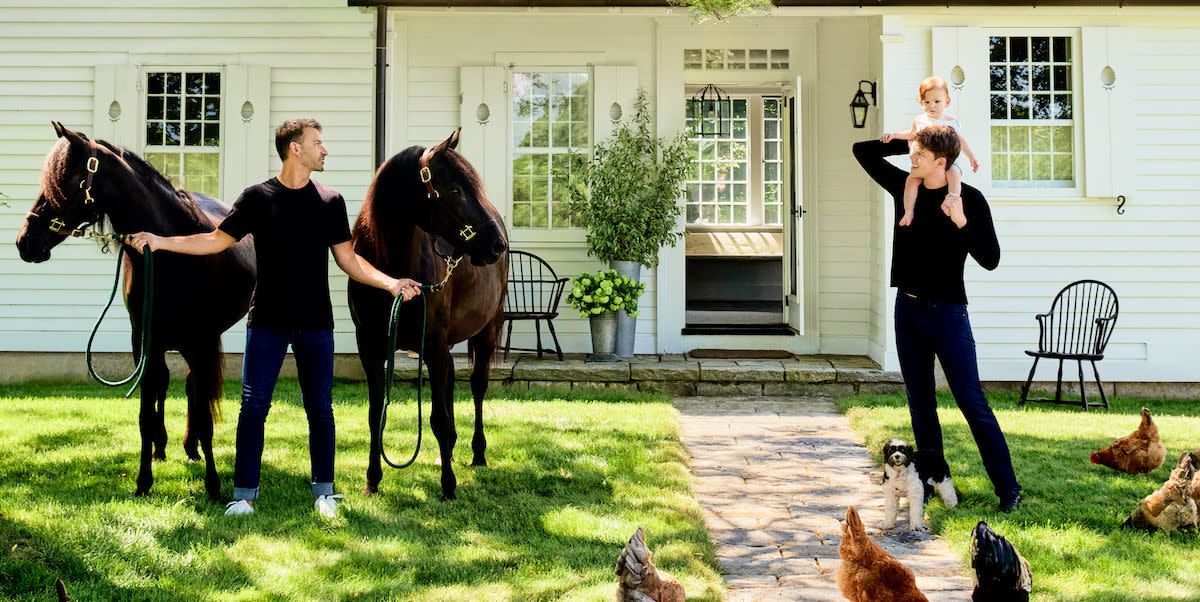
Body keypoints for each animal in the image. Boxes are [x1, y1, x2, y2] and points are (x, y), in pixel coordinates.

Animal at [15, 121, 255, 498]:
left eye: (64, 181)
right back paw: (164, 446)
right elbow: (145, 412)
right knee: (166, 385)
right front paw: (144, 481)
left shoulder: (201, 339)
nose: (25, 241)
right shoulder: (143, 339)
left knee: (192, 388)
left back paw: (191, 448)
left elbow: (203, 412)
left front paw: (214, 486)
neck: (171, 252)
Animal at [352, 129, 508, 501]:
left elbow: (437, 418)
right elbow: (375, 414)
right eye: (455, 190)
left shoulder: (433, 345)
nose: (497, 245)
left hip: (484, 333)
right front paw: (372, 480)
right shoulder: (370, 347)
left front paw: (448, 486)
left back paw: (477, 454)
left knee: (478, 387)